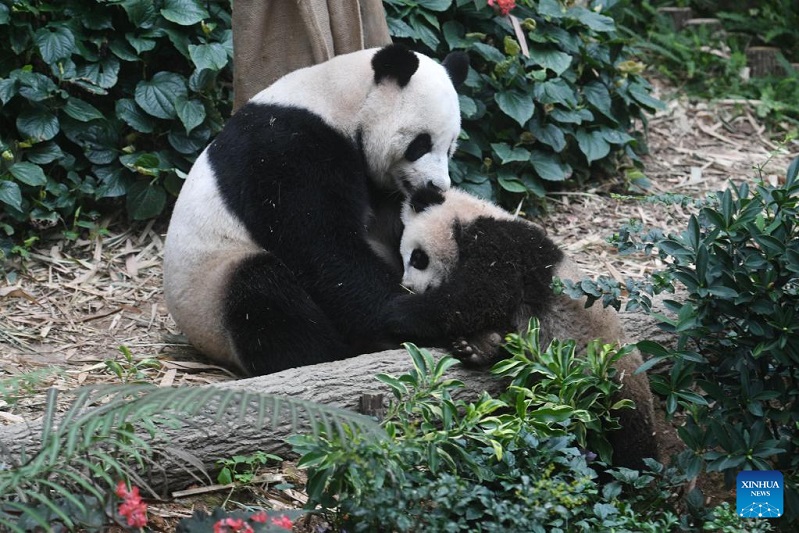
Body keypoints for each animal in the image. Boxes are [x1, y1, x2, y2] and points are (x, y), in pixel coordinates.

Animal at [163, 45, 520, 376]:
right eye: (421, 143)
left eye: (450, 147)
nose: (437, 185)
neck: (337, 101)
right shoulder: (284, 152)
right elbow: (324, 247)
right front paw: (412, 315)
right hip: (211, 290)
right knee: (261, 295)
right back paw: (341, 351)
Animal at [400, 188, 656, 470]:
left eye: (417, 258)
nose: (408, 286)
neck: (469, 216)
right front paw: (481, 345)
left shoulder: (503, 244)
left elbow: (476, 298)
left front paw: (389, 311)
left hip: (609, 376)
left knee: (629, 436)